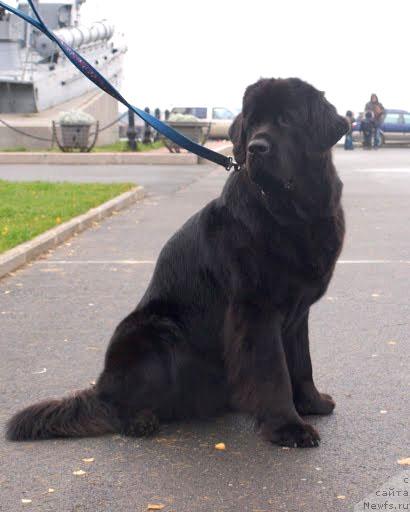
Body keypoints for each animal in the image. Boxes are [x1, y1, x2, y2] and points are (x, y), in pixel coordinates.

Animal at [6, 77, 348, 448]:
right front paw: (288, 427)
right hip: (154, 333)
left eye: (286, 120)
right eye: (253, 123)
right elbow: (274, 372)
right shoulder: (256, 311)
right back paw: (141, 421)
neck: (293, 212)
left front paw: (312, 403)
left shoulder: (298, 313)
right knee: (117, 406)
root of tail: (101, 387)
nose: (256, 148)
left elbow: (301, 363)